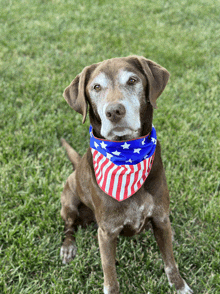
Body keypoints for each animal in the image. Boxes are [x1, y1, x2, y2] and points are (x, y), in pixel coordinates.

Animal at [59, 55, 192, 294]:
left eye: (132, 80)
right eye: (96, 87)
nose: (114, 112)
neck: (125, 155)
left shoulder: (160, 217)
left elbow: (170, 261)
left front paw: (179, 286)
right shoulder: (106, 232)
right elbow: (110, 275)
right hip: (69, 201)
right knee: (69, 226)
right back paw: (68, 247)